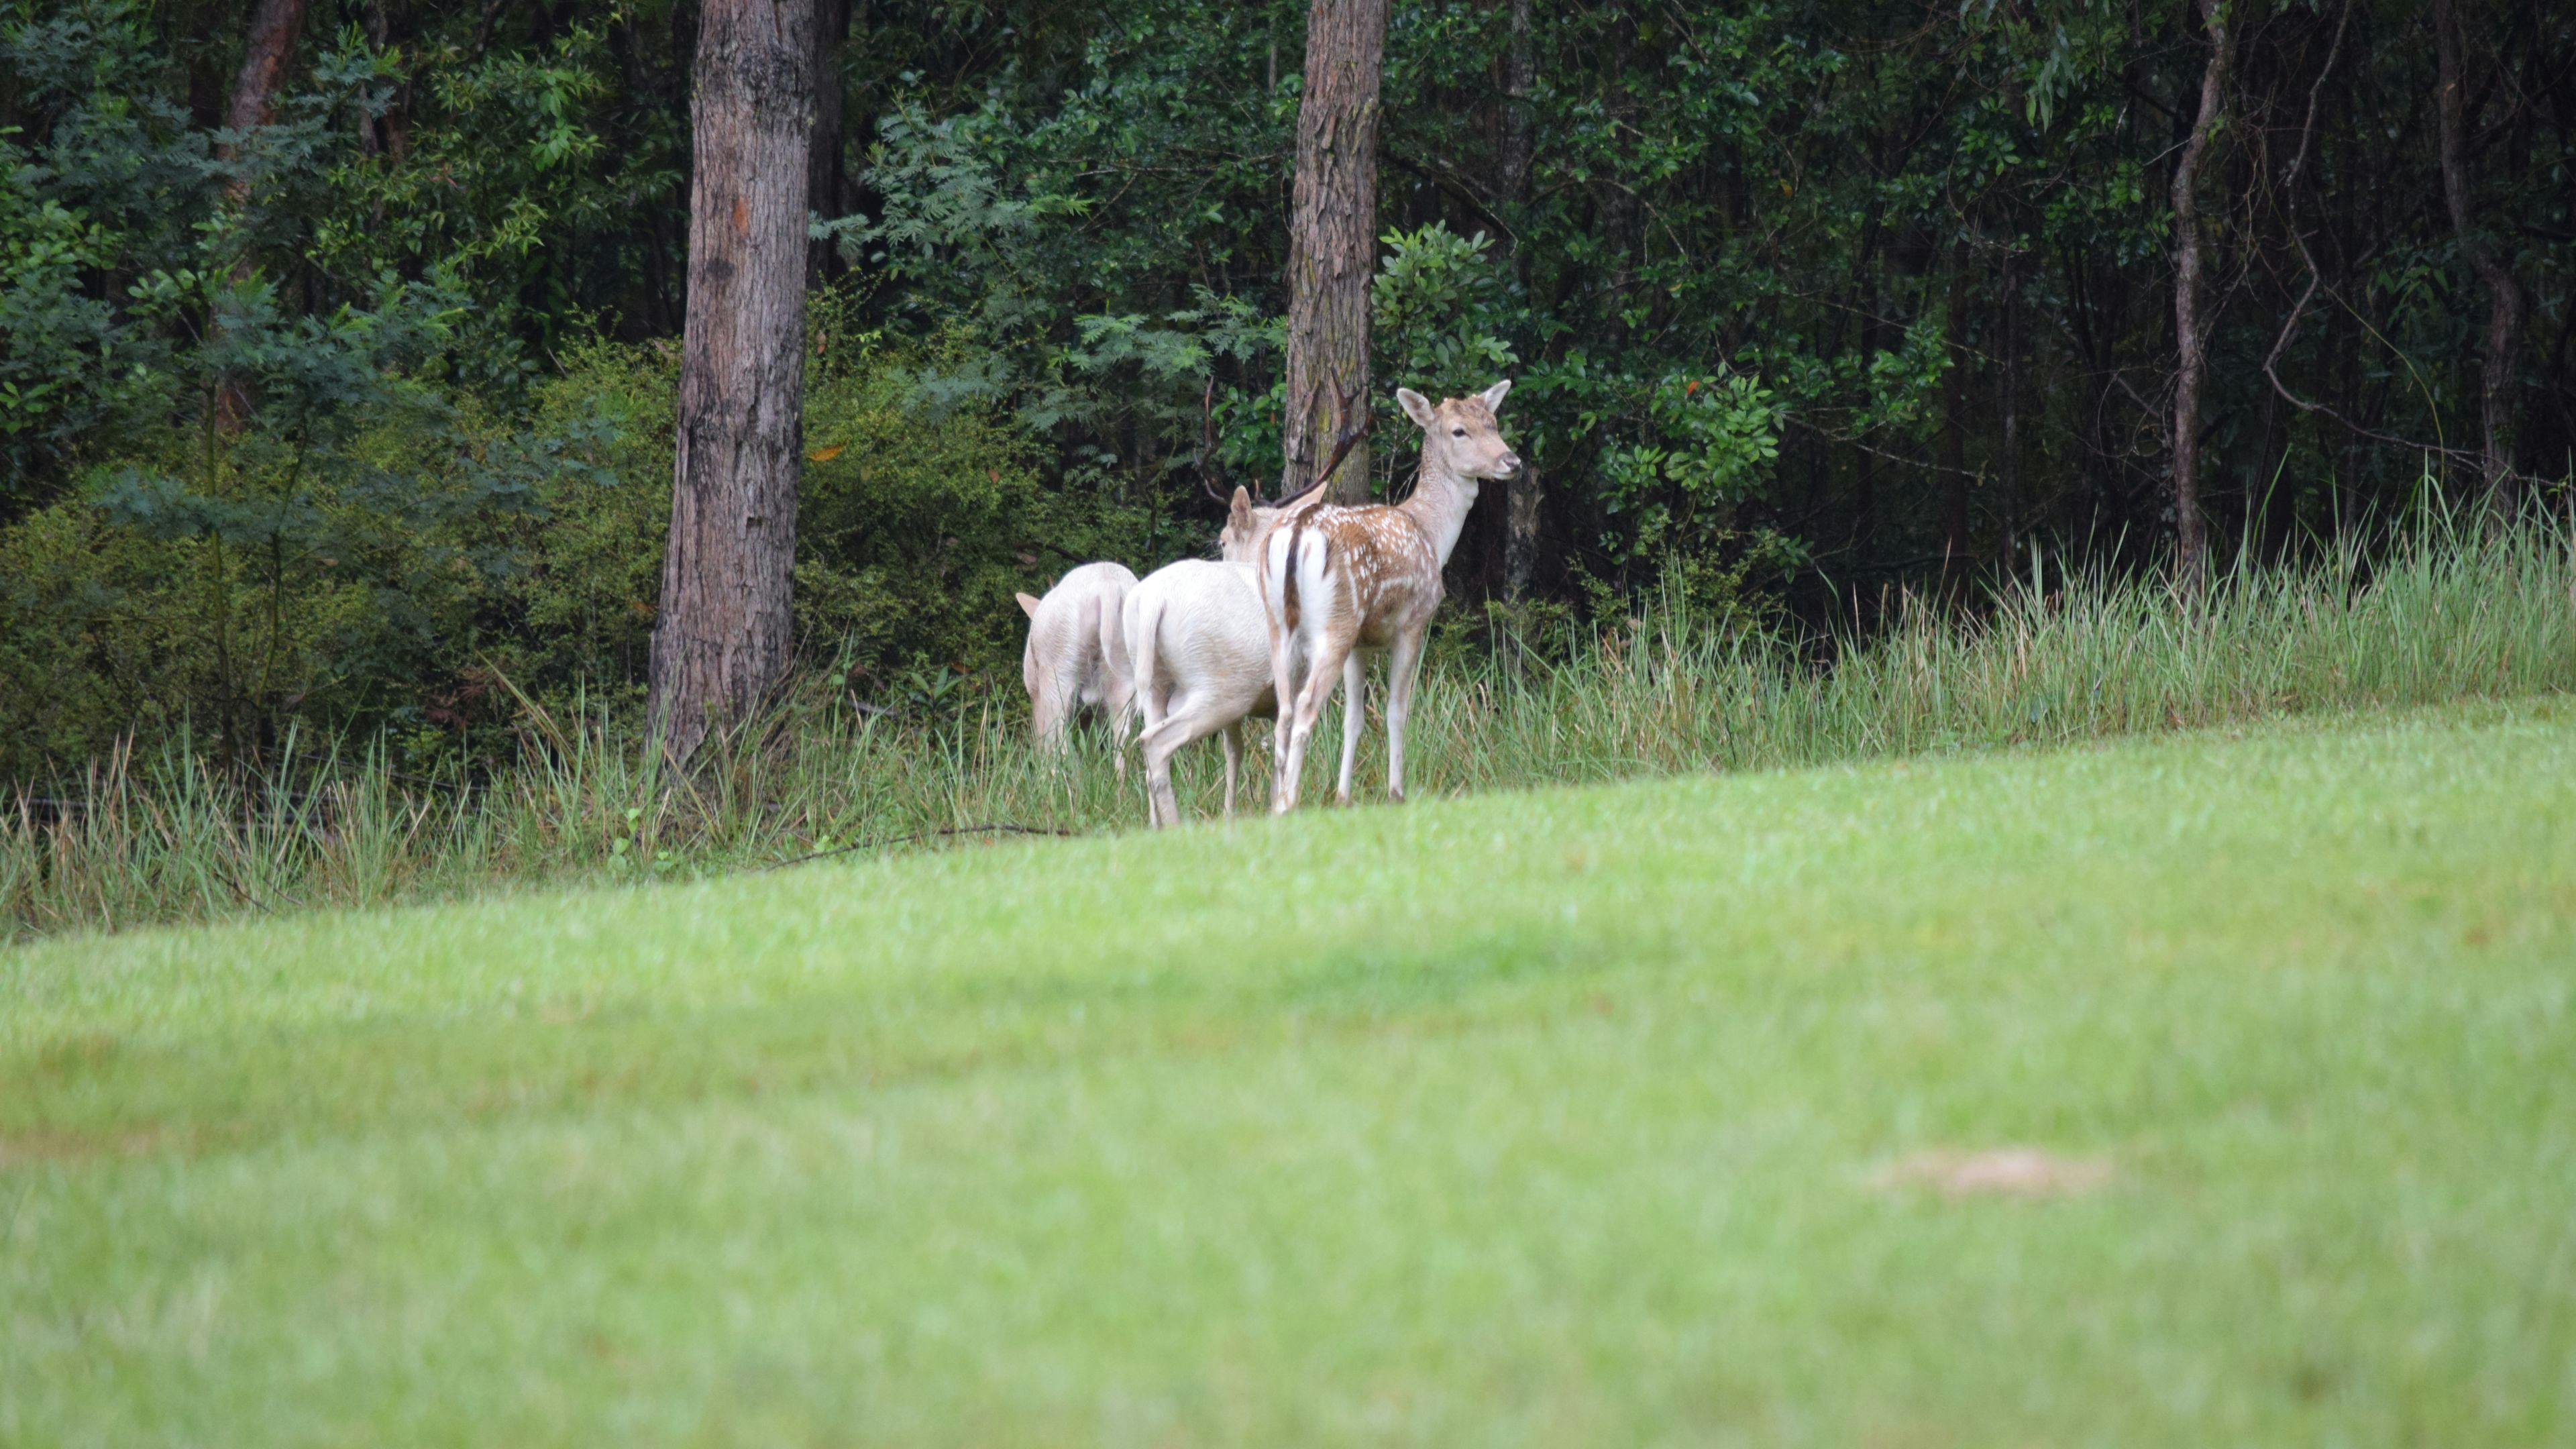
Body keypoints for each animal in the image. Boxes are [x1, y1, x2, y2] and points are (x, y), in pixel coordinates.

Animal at [1016, 561, 1138, 753]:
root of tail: (1108, 586)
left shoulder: (1036, 692)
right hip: (1127, 673)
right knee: (1125, 740)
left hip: (1058, 671)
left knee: (1059, 742)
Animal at [1258, 379, 1519, 814]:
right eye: (1459, 431)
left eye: (1494, 423)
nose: (1512, 461)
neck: (1431, 535)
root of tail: (1299, 531)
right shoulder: (1413, 623)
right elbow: (1398, 709)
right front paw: (1397, 791)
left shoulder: (1361, 643)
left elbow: (1354, 717)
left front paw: (1343, 796)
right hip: (1336, 622)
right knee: (1307, 708)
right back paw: (1289, 802)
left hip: (1282, 626)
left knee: (1284, 710)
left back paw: (1276, 803)